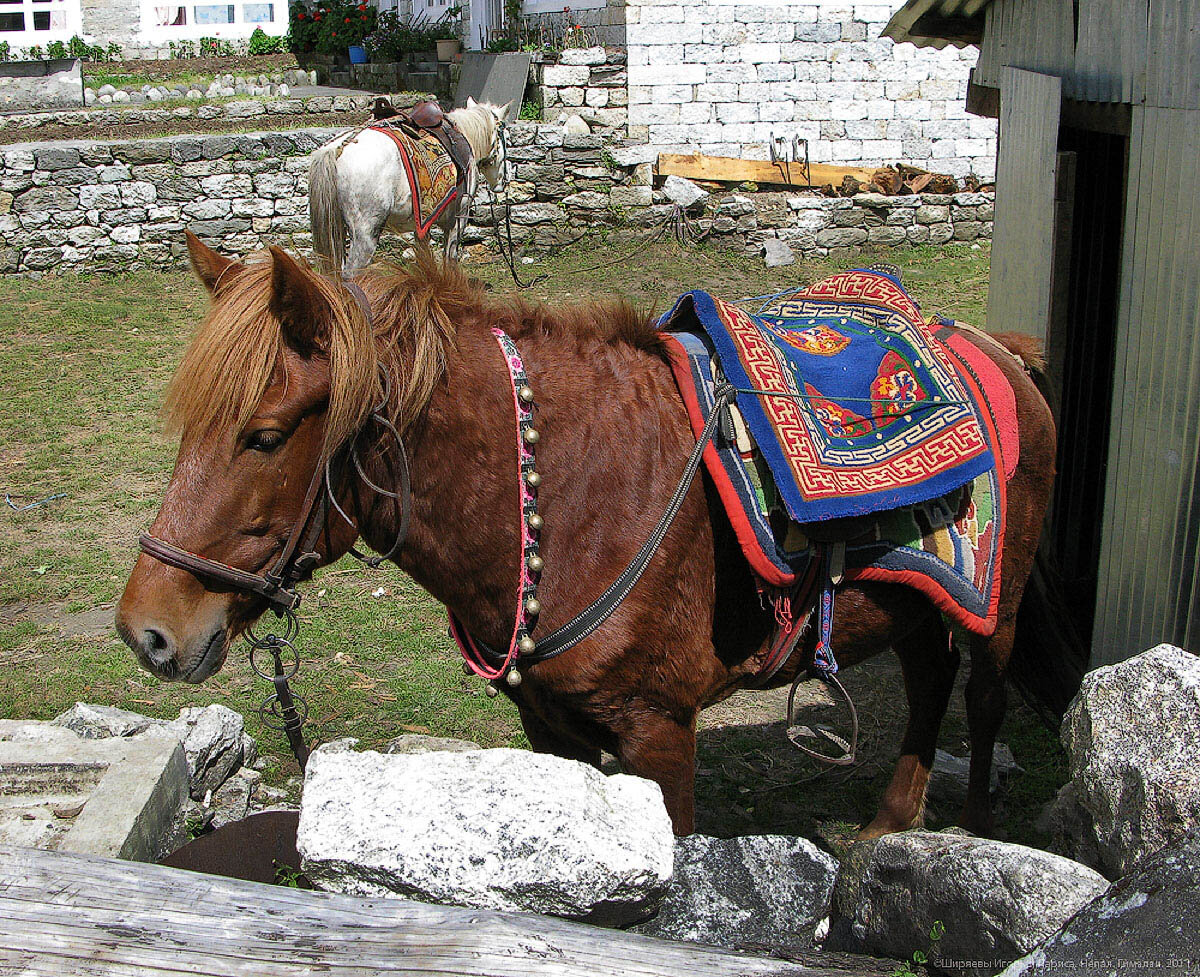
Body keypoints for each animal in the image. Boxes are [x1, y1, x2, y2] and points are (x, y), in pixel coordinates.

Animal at [114, 232, 1051, 840]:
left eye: (266, 436)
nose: (147, 631)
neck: (571, 497)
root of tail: (996, 348)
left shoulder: (659, 733)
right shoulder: (550, 728)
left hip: (999, 611)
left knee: (981, 696)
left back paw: (974, 834)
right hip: (912, 604)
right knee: (929, 680)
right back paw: (891, 826)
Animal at [307, 97, 508, 273]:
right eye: (505, 136)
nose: (503, 182)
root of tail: (336, 149)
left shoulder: (424, 222)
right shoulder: (458, 218)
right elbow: (449, 261)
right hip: (365, 236)